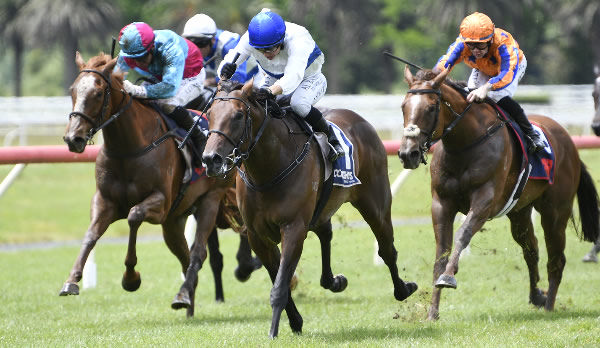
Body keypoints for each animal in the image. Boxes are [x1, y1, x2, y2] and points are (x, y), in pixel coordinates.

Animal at [60, 52, 260, 318]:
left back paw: (188, 294)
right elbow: (91, 234)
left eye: (98, 92)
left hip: (209, 200)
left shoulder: (161, 203)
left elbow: (134, 216)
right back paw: (187, 300)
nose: (73, 138)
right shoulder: (104, 201)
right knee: (186, 256)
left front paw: (131, 278)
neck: (129, 149)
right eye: (73, 90)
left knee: (198, 252)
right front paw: (71, 281)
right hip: (174, 220)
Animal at [202, 79, 418, 338]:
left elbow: (280, 286)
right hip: (323, 209)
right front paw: (295, 322)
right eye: (210, 114)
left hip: (375, 204)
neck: (269, 168)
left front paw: (273, 332)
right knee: (326, 233)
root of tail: (361, 120)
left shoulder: (293, 228)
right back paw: (334, 281)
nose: (210, 159)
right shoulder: (258, 236)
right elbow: (280, 279)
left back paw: (403, 289)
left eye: (237, 115)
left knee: (387, 249)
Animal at [398, 66, 600, 320]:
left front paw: (448, 277)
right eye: (403, 106)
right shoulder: (441, 203)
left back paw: (549, 305)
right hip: (519, 212)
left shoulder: (485, 201)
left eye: (432, 107)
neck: (465, 143)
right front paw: (432, 313)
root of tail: (570, 142)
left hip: (555, 212)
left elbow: (463, 234)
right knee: (531, 249)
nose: (408, 153)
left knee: (556, 259)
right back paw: (537, 296)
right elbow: (441, 253)